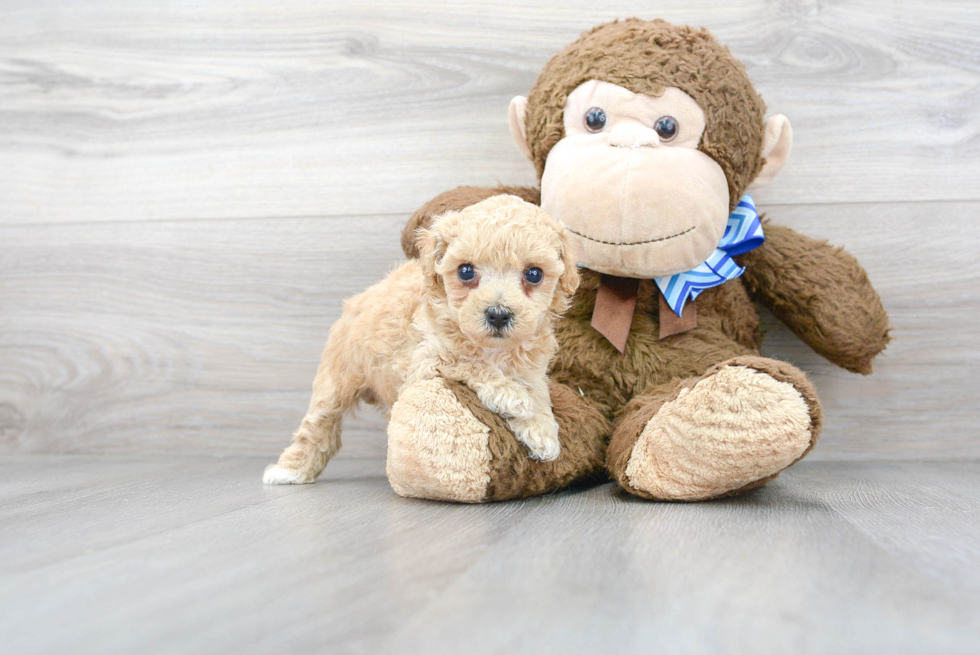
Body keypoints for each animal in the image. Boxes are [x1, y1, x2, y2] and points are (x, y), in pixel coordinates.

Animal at [264, 195, 580, 486]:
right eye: (466, 271)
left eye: (534, 274)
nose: (498, 314)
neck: (493, 349)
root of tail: (356, 301)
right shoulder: (427, 359)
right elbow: (469, 362)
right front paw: (509, 394)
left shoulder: (531, 366)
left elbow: (538, 391)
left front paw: (542, 429)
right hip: (336, 378)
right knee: (318, 425)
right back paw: (290, 470)